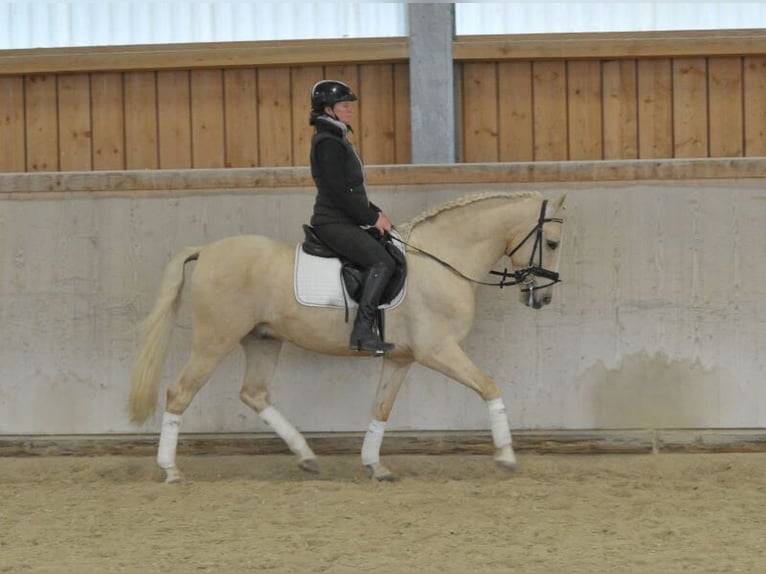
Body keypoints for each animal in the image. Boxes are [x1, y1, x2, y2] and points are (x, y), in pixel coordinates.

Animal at [129, 191, 568, 484]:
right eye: (551, 242)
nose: (543, 298)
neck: (442, 260)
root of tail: (207, 250)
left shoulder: (401, 358)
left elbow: (381, 408)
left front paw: (376, 465)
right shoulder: (438, 350)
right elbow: (489, 387)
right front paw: (507, 456)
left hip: (262, 339)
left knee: (254, 394)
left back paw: (306, 456)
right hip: (214, 340)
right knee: (179, 393)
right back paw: (171, 469)